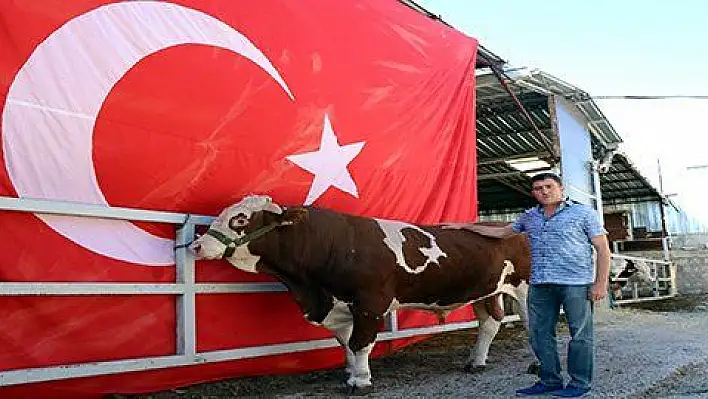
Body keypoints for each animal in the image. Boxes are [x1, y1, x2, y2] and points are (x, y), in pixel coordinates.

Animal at [188, 196, 532, 390]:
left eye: (240, 219)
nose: (196, 245)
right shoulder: (340, 307)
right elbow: (346, 345)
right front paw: (351, 373)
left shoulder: (370, 303)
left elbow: (361, 343)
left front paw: (361, 381)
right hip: (487, 292)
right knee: (490, 323)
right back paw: (476, 361)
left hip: (525, 286)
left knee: (530, 320)